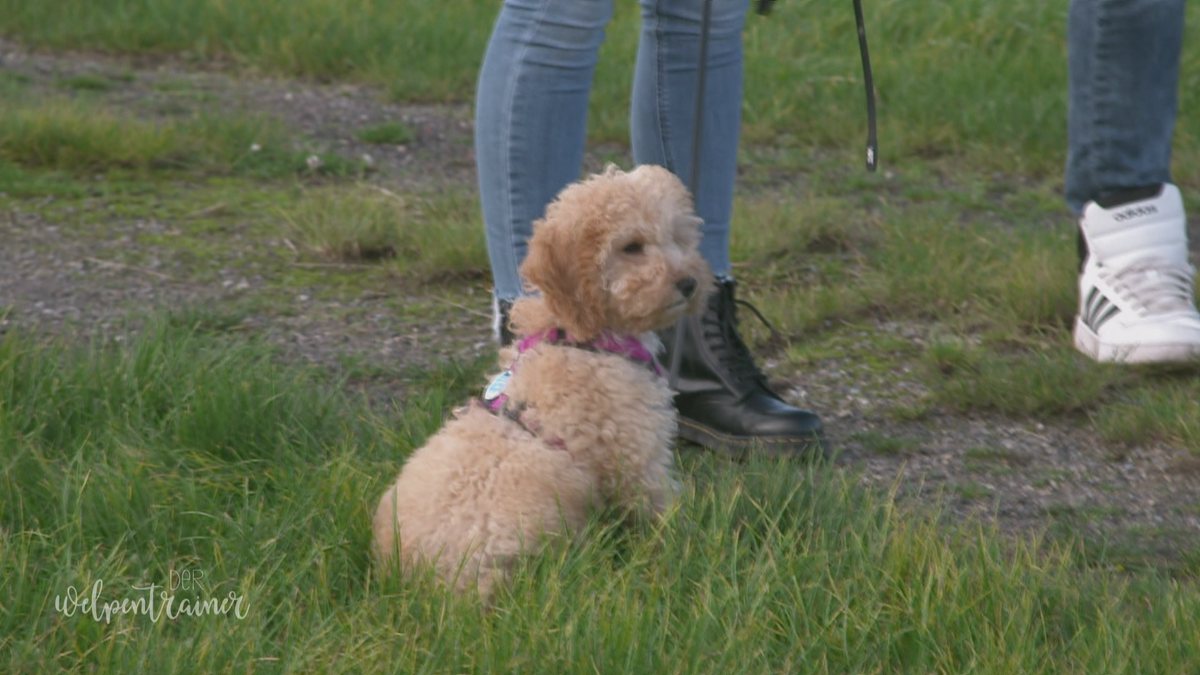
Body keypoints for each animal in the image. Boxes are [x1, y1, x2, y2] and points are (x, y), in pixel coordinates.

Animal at [372, 165, 710, 595]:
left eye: (679, 238)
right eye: (631, 247)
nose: (690, 283)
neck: (580, 336)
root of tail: (414, 584)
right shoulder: (637, 458)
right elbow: (663, 510)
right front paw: (690, 544)